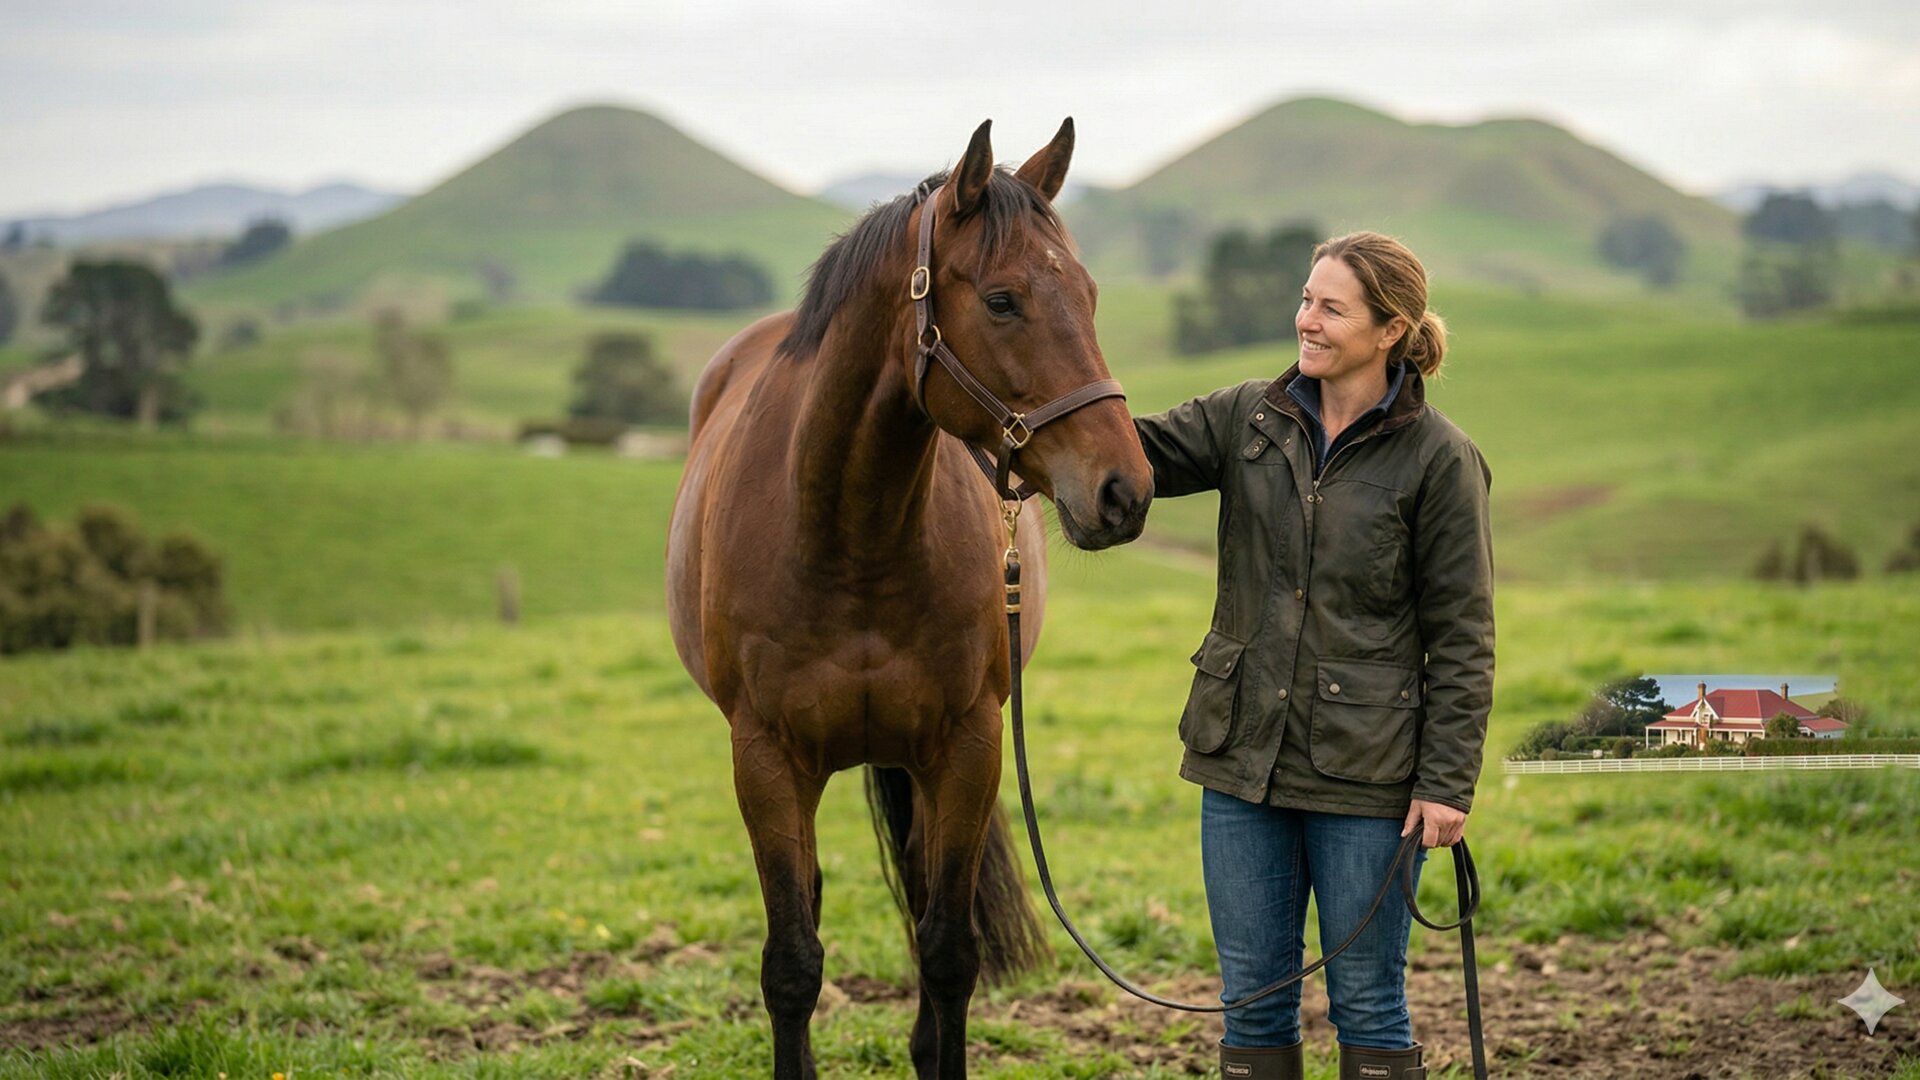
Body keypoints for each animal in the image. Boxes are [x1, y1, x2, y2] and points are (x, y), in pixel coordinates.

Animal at [665, 118, 1154, 1078]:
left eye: (1087, 293)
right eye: (1002, 301)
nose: (1125, 490)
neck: (851, 537)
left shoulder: (965, 749)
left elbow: (949, 952)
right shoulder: (765, 759)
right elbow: (791, 962)